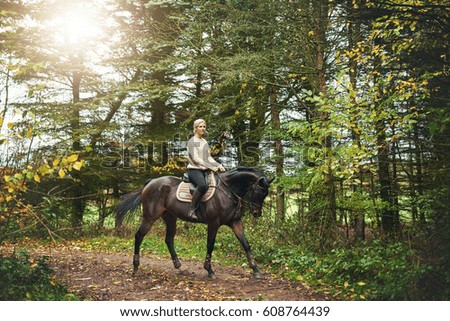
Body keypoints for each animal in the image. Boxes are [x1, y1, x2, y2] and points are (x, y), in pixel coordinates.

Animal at [114, 168, 272, 278]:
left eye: (265, 194)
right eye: (259, 193)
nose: (257, 213)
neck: (228, 190)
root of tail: (151, 183)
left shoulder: (235, 222)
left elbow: (245, 244)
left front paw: (255, 270)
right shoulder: (213, 223)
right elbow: (210, 245)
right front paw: (209, 270)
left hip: (170, 217)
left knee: (168, 239)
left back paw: (178, 265)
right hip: (149, 217)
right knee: (139, 236)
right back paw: (135, 267)